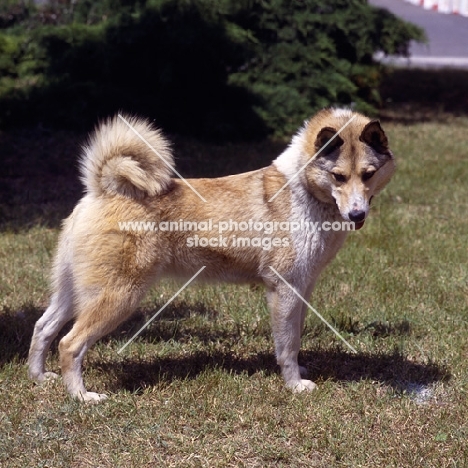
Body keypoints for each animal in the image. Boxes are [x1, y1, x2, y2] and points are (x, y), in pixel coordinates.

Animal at [28, 108, 394, 400]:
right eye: (338, 176)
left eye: (368, 174)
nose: (357, 215)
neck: (302, 191)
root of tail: (102, 189)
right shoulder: (284, 289)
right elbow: (287, 345)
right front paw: (294, 385)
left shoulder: (303, 287)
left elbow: (295, 337)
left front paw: (299, 373)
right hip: (118, 297)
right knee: (69, 344)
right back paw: (82, 397)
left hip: (72, 293)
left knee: (43, 328)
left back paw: (40, 377)